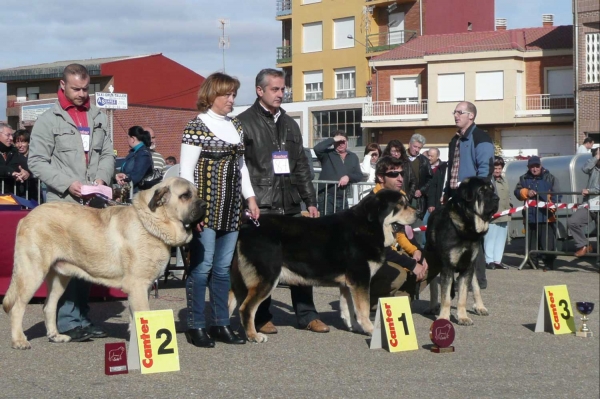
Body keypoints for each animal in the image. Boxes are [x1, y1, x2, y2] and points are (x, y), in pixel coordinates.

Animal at [230, 190, 418, 344]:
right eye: (401, 205)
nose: (418, 213)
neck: (370, 225)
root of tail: (246, 226)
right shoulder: (360, 279)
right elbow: (363, 309)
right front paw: (371, 329)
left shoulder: (348, 284)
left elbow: (349, 308)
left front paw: (355, 327)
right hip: (267, 278)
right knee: (246, 309)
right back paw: (253, 336)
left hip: (239, 281)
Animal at [424, 177, 500, 324]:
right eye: (481, 191)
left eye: (491, 189)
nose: (497, 198)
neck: (467, 227)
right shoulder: (447, 266)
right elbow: (445, 297)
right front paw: (443, 317)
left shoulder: (468, 266)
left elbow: (463, 296)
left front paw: (463, 317)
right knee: (433, 285)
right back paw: (433, 306)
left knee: (476, 286)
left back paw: (480, 307)